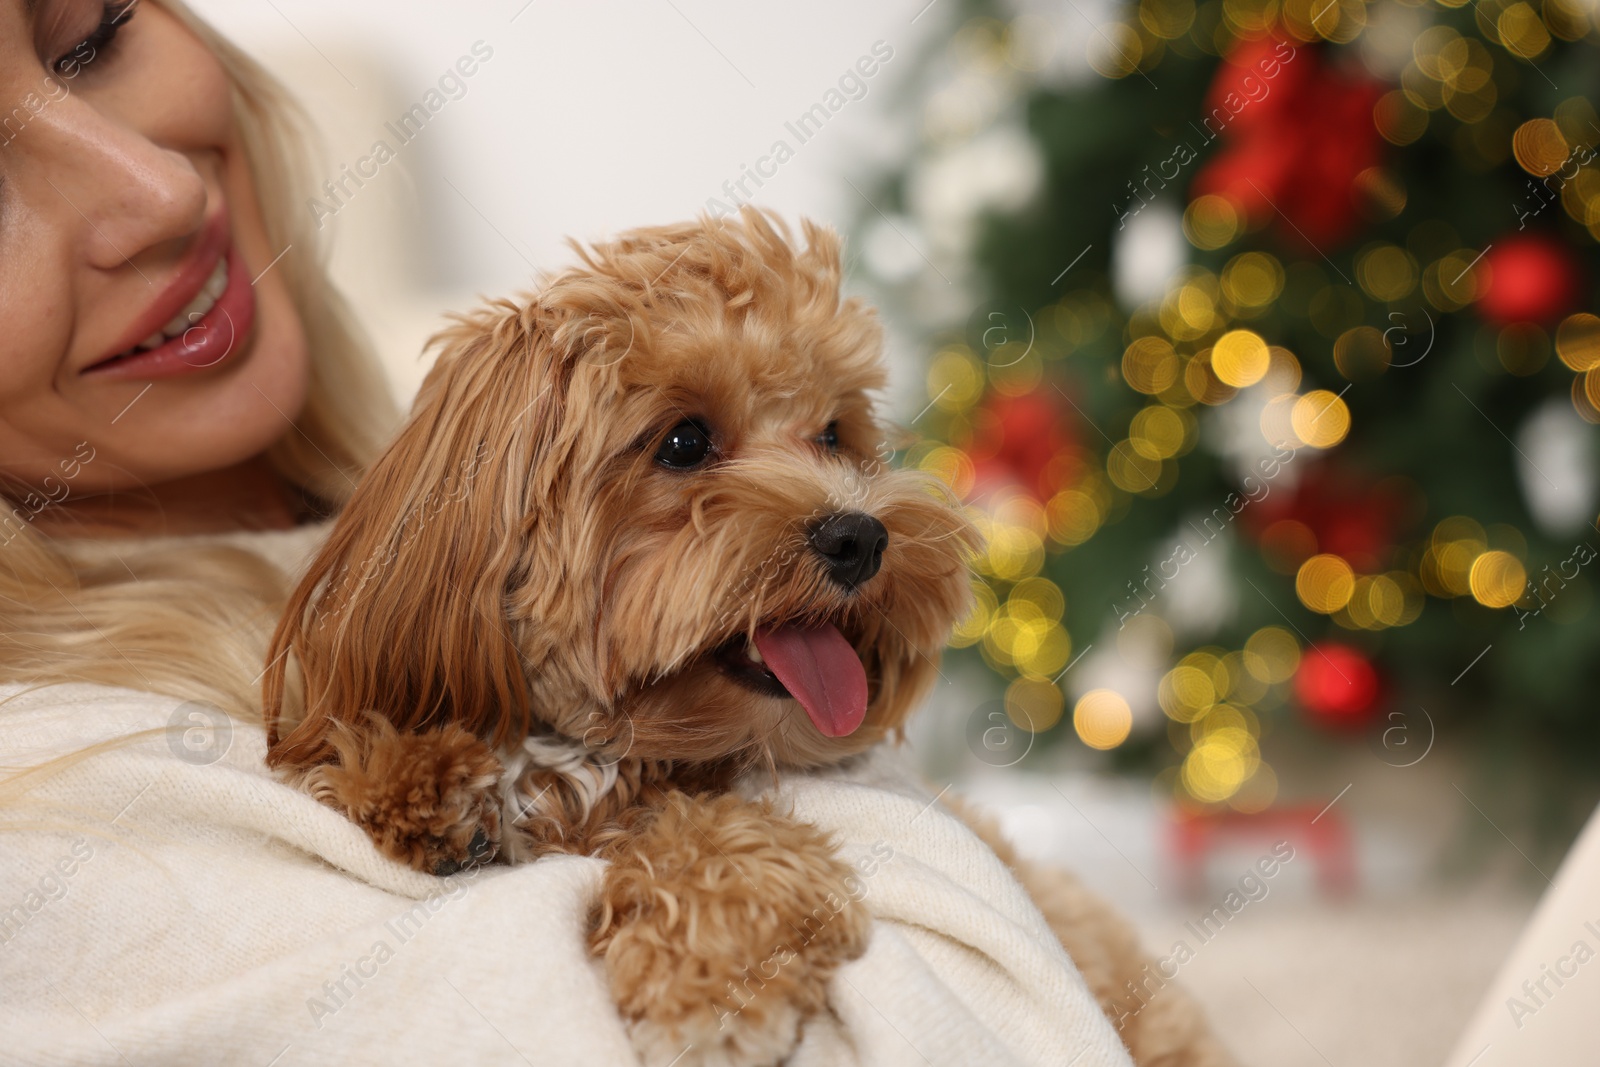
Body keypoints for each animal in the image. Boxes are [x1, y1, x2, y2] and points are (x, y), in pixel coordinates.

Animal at [268, 207, 1228, 1067]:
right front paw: (409, 769)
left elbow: (714, 837)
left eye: (835, 434)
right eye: (684, 441)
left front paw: (709, 980)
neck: (610, 756)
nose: (860, 537)